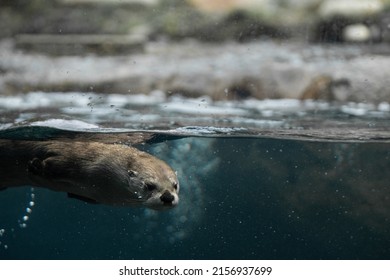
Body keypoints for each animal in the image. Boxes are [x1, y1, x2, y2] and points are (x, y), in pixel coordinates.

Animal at [0, 140, 179, 210]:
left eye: (175, 185)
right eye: (149, 185)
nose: (168, 197)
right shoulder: (74, 156)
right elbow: (55, 163)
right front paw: (35, 166)